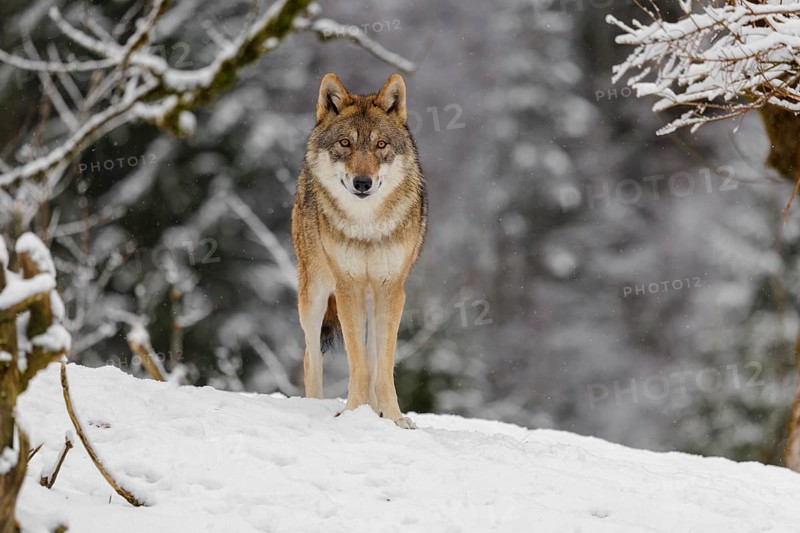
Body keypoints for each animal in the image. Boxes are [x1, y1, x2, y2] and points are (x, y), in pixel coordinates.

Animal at [291, 73, 427, 429]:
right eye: (345, 144)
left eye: (381, 145)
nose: (363, 183)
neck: (367, 226)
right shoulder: (347, 286)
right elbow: (359, 364)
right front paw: (353, 413)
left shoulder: (392, 289)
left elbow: (382, 366)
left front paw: (393, 418)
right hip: (314, 297)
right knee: (311, 357)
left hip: (370, 297)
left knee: (372, 354)